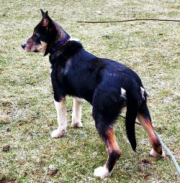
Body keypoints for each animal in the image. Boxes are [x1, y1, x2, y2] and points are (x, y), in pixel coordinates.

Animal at [21, 10, 165, 179]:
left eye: (36, 35)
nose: (22, 45)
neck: (61, 45)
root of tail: (130, 83)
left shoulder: (58, 95)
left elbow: (61, 120)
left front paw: (59, 133)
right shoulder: (78, 94)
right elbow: (76, 112)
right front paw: (76, 124)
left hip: (101, 116)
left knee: (115, 150)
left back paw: (103, 172)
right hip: (141, 110)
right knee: (155, 138)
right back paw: (157, 154)